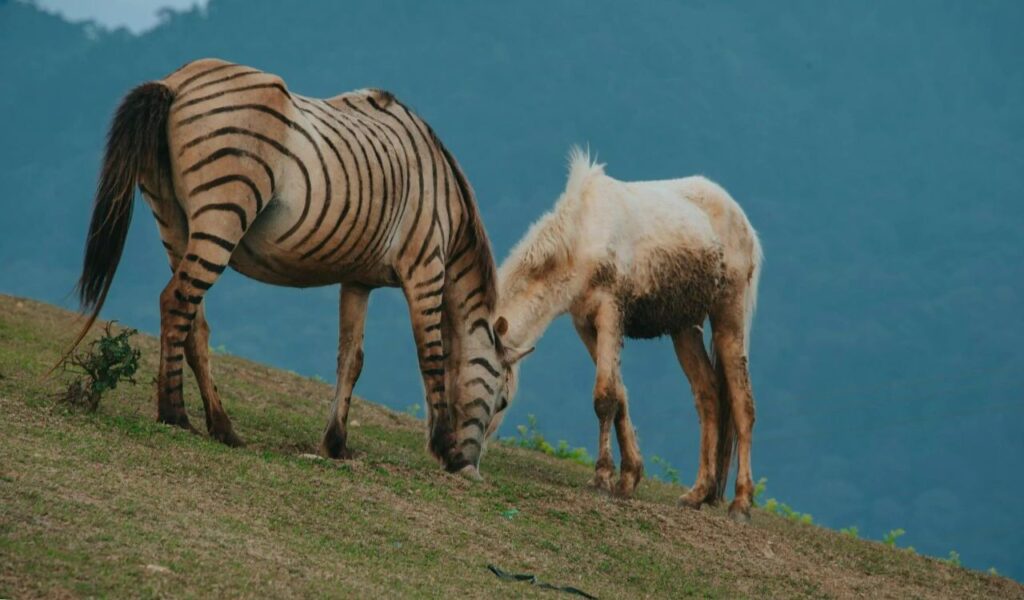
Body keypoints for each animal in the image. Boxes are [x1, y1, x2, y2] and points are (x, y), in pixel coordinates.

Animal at [71, 58, 531, 478]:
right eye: (503, 400)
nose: (472, 470)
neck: (444, 202)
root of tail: (177, 81)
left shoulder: (357, 280)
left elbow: (352, 359)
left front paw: (336, 443)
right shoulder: (425, 268)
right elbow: (432, 358)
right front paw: (445, 449)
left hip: (173, 221)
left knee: (194, 324)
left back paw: (222, 427)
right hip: (223, 215)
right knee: (176, 302)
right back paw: (175, 414)